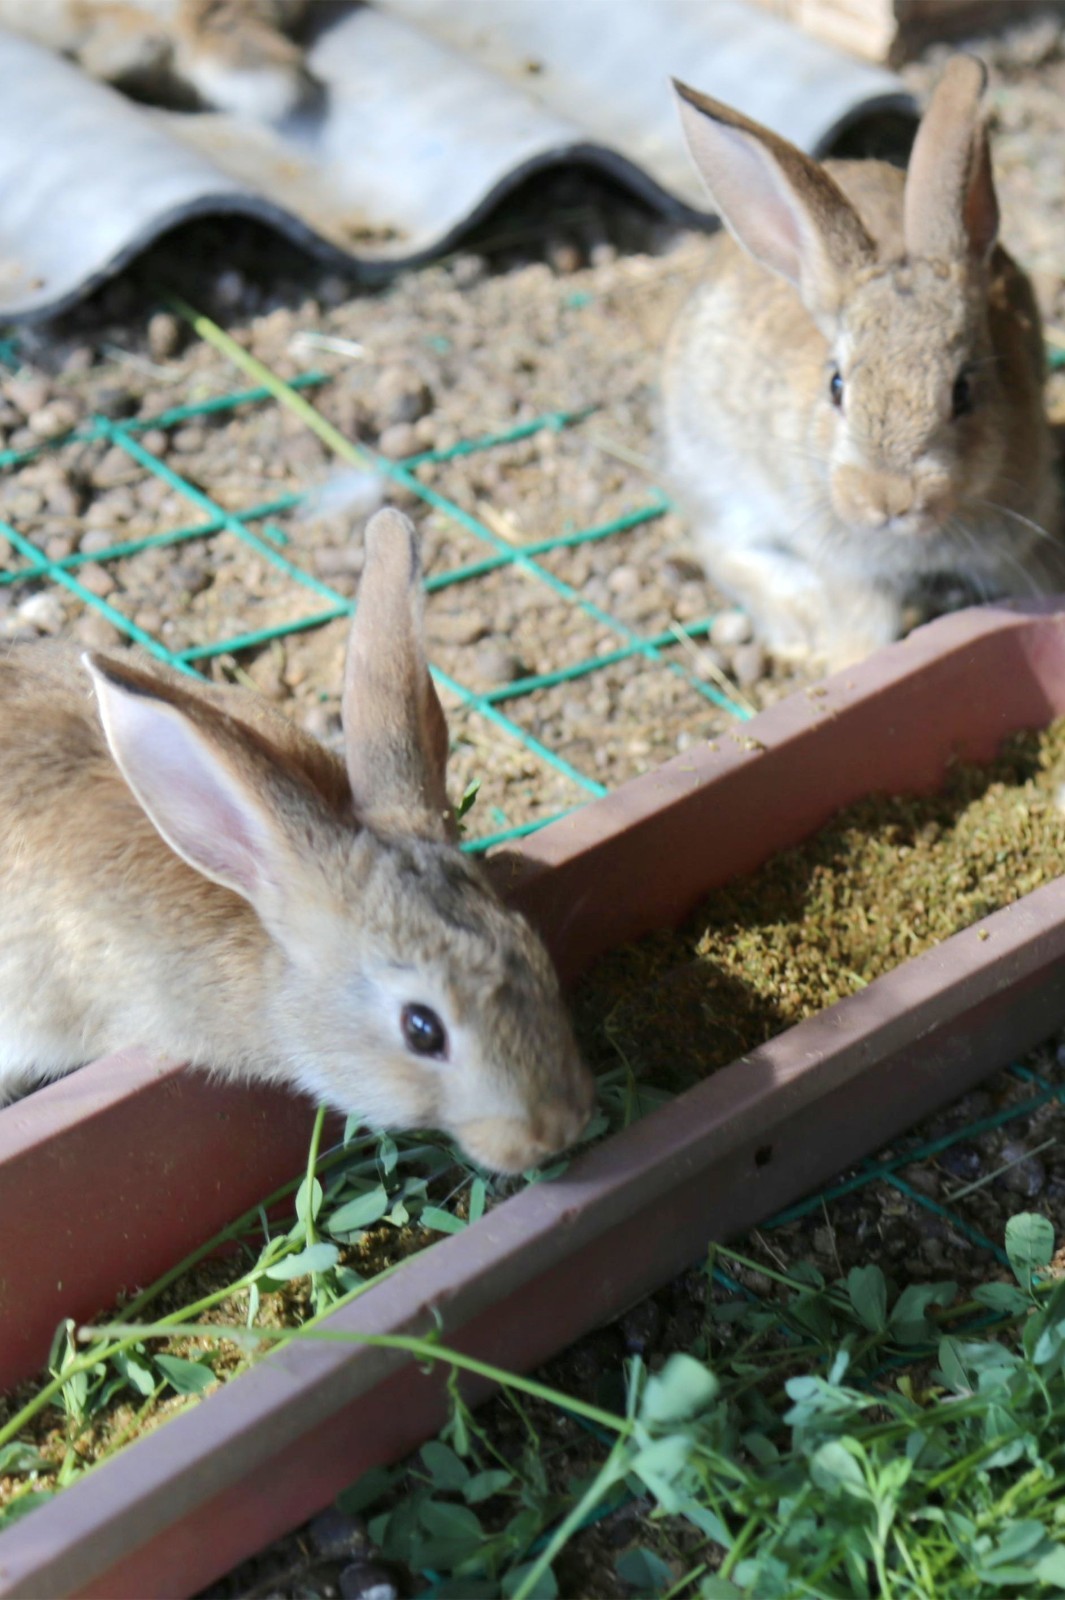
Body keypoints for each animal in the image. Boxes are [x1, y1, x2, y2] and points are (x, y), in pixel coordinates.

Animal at [658, 56, 1055, 668]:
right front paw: (846, 661)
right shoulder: (849, 569)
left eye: (963, 392)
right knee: (721, 548)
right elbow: (864, 637)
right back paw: (796, 618)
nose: (886, 499)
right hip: (710, 464)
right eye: (836, 386)